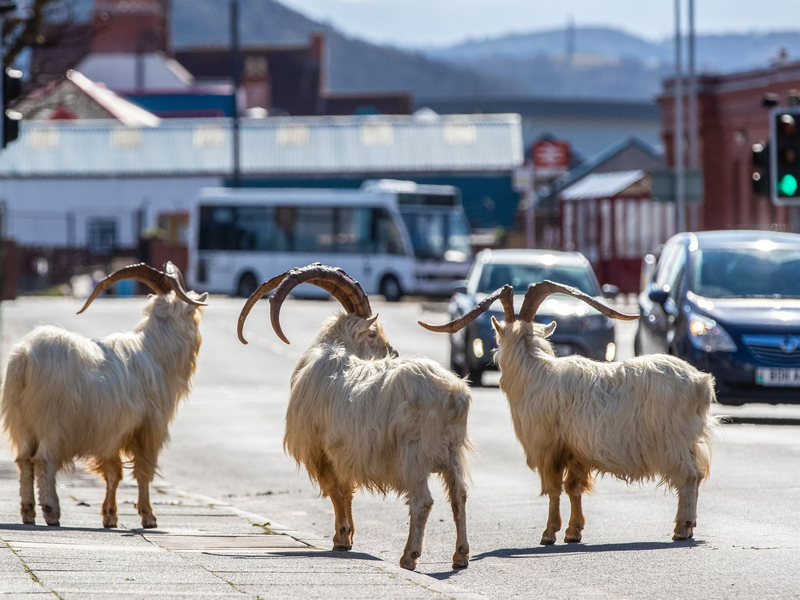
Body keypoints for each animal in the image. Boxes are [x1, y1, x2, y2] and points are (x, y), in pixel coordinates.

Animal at [1, 262, 207, 529]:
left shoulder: (111, 431)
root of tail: (25, 356)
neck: (155, 352)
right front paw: (148, 517)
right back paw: (51, 511)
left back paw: (28, 512)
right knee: (44, 460)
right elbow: (143, 471)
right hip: (52, 421)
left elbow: (113, 472)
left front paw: (110, 516)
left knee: (24, 460)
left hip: (21, 422)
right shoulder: (148, 428)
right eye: (194, 316)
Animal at [237, 263, 472, 571]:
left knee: (422, 501)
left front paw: (341, 539)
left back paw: (409, 557)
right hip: (452, 454)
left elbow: (337, 491)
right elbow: (346, 491)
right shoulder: (342, 453)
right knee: (459, 496)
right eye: (373, 334)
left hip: (413, 455)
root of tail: (453, 394)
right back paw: (461, 556)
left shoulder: (322, 451)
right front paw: (347, 537)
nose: (392, 352)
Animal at [420, 281, 716, 543]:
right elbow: (574, 488)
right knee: (698, 475)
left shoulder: (548, 447)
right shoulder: (576, 451)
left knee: (689, 477)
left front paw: (549, 533)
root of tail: (699, 382)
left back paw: (682, 528)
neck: (535, 371)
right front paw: (574, 532)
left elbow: (553, 489)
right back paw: (688, 527)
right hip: (688, 441)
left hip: (672, 441)